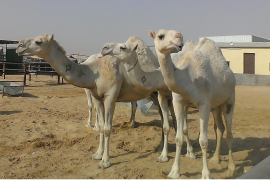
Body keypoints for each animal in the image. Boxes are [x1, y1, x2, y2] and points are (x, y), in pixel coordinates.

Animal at [15, 34, 175, 169]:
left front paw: (105, 161)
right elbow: (102, 126)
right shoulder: (97, 97)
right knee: (163, 117)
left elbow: (107, 128)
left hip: (165, 93)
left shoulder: (111, 96)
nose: (19, 45)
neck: (93, 72)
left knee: (170, 116)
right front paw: (97, 154)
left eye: (38, 41)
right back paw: (160, 147)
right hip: (154, 94)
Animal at [149, 29, 235, 179]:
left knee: (229, 132)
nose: (178, 36)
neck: (188, 78)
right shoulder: (178, 100)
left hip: (230, 99)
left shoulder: (204, 104)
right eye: (160, 36)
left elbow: (203, 141)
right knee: (220, 128)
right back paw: (215, 159)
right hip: (216, 106)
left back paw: (231, 168)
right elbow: (178, 137)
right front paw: (174, 171)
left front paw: (206, 174)